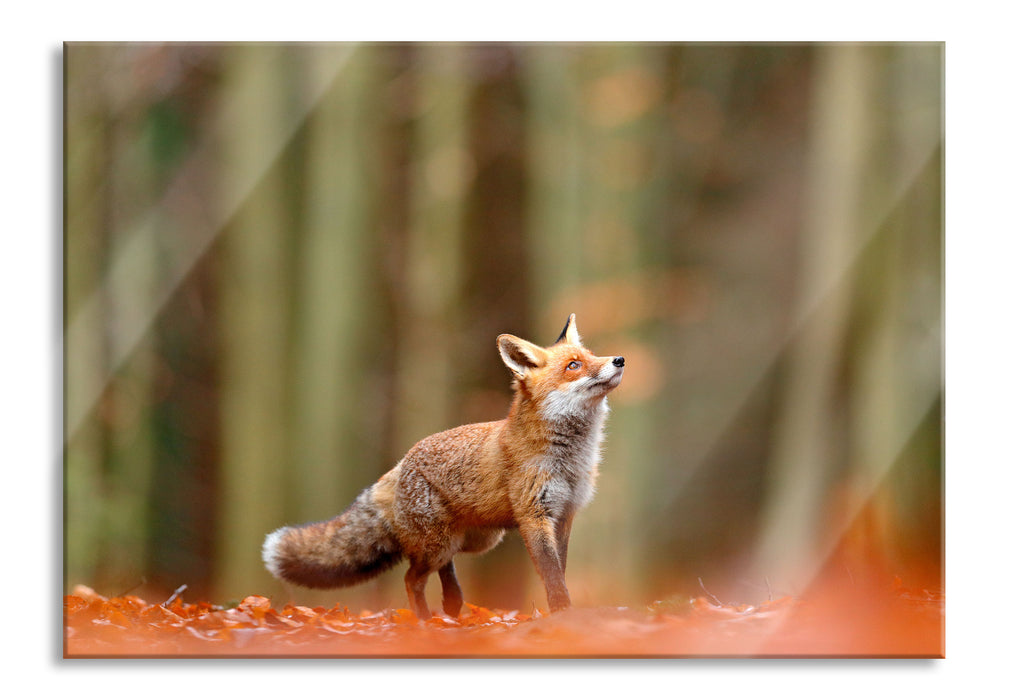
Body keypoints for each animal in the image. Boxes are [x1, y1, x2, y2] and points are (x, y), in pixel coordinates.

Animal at [262, 313, 624, 619]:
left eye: (592, 355)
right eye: (574, 365)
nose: (619, 360)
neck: (570, 459)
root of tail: (400, 464)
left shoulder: (564, 515)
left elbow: (559, 571)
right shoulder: (534, 515)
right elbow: (551, 576)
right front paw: (563, 614)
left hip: (474, 540)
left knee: (443, 570)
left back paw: (451, 606)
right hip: (441, 544)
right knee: (412, 578)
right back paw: (424, 622)